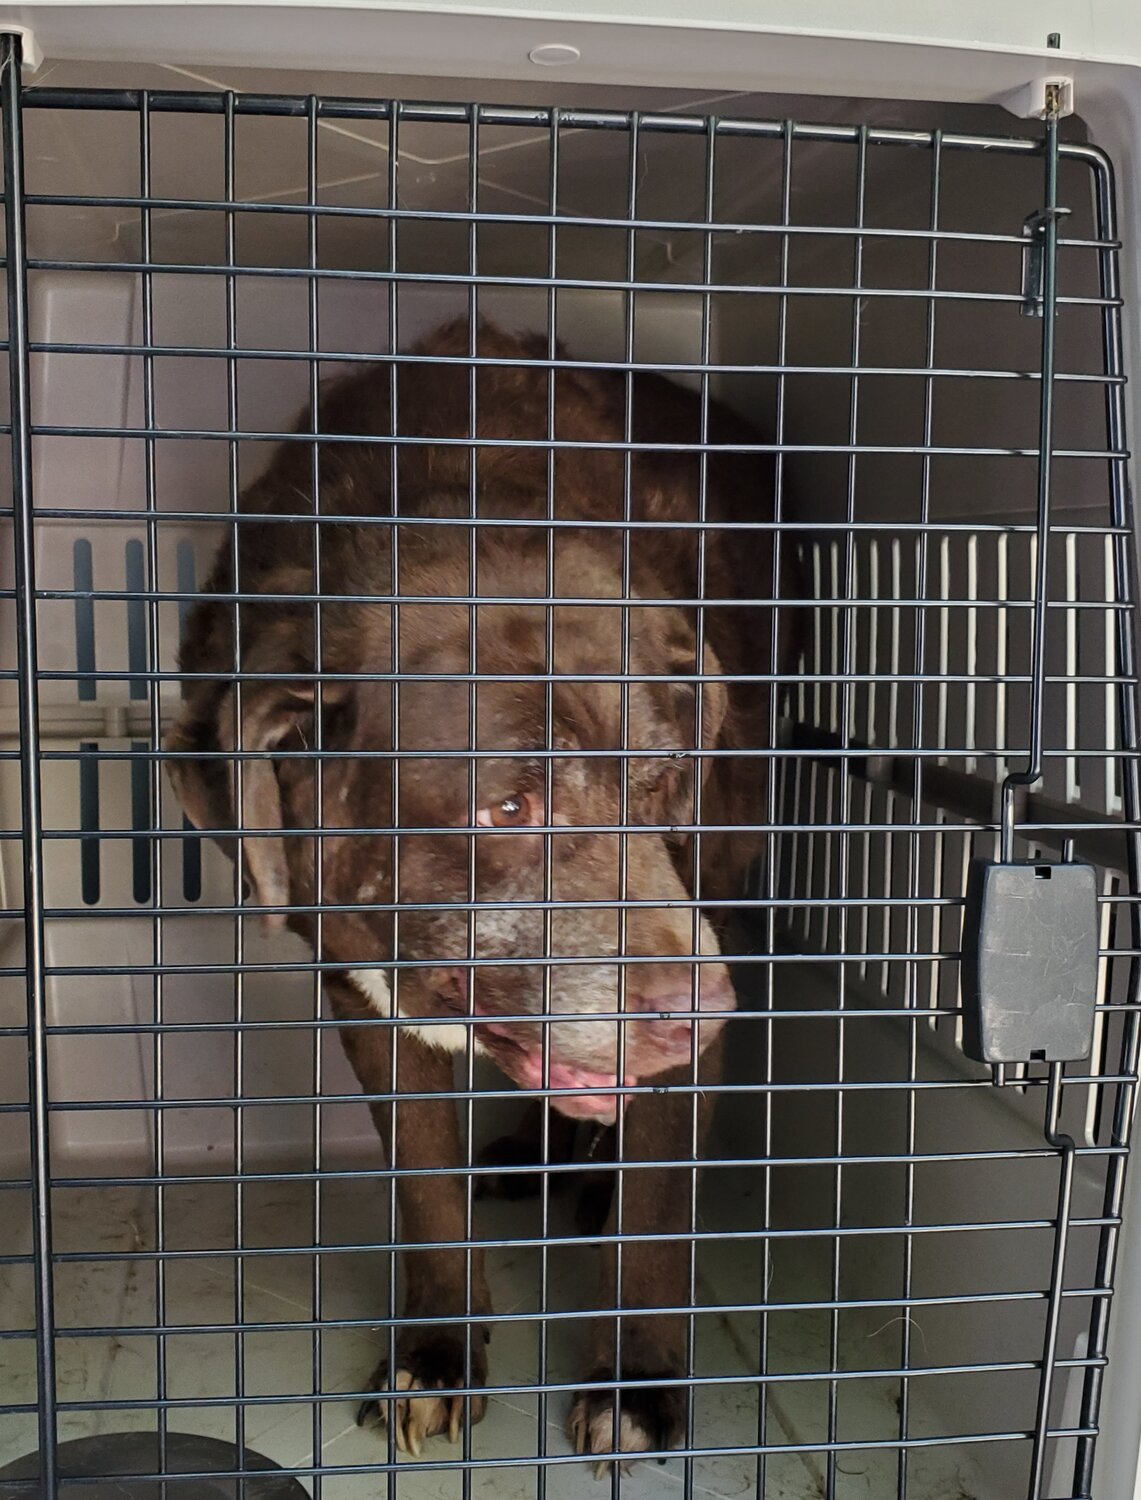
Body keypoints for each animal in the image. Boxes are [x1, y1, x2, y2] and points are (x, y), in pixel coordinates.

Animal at [167, 322, 785, 1470]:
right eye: (505, 808)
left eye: (664, 779)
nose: (701, 1013)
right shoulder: (359, 984)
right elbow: (422, 1182)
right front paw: (440, 1353)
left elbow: (660, 1200)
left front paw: (637, 1381)